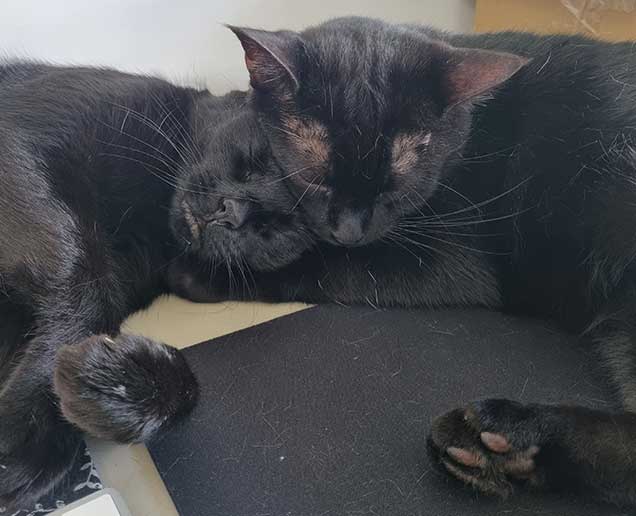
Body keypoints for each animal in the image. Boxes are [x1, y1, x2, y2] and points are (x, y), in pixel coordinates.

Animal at [0, 61, 312, 508]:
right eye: (254, 161)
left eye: (278, 226)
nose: (232, 212)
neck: (149, 219)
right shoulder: (20, 146)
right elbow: (81, 269)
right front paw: (27, 431)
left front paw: (118, 389)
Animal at [187, 17, 636, 507]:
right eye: (314, 179)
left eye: (394, 188)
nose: (349, 232)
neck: (468, 142)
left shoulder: (447, 260)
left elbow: (322, 265)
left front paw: (199, 269)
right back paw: (501, 453)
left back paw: (508, 430)